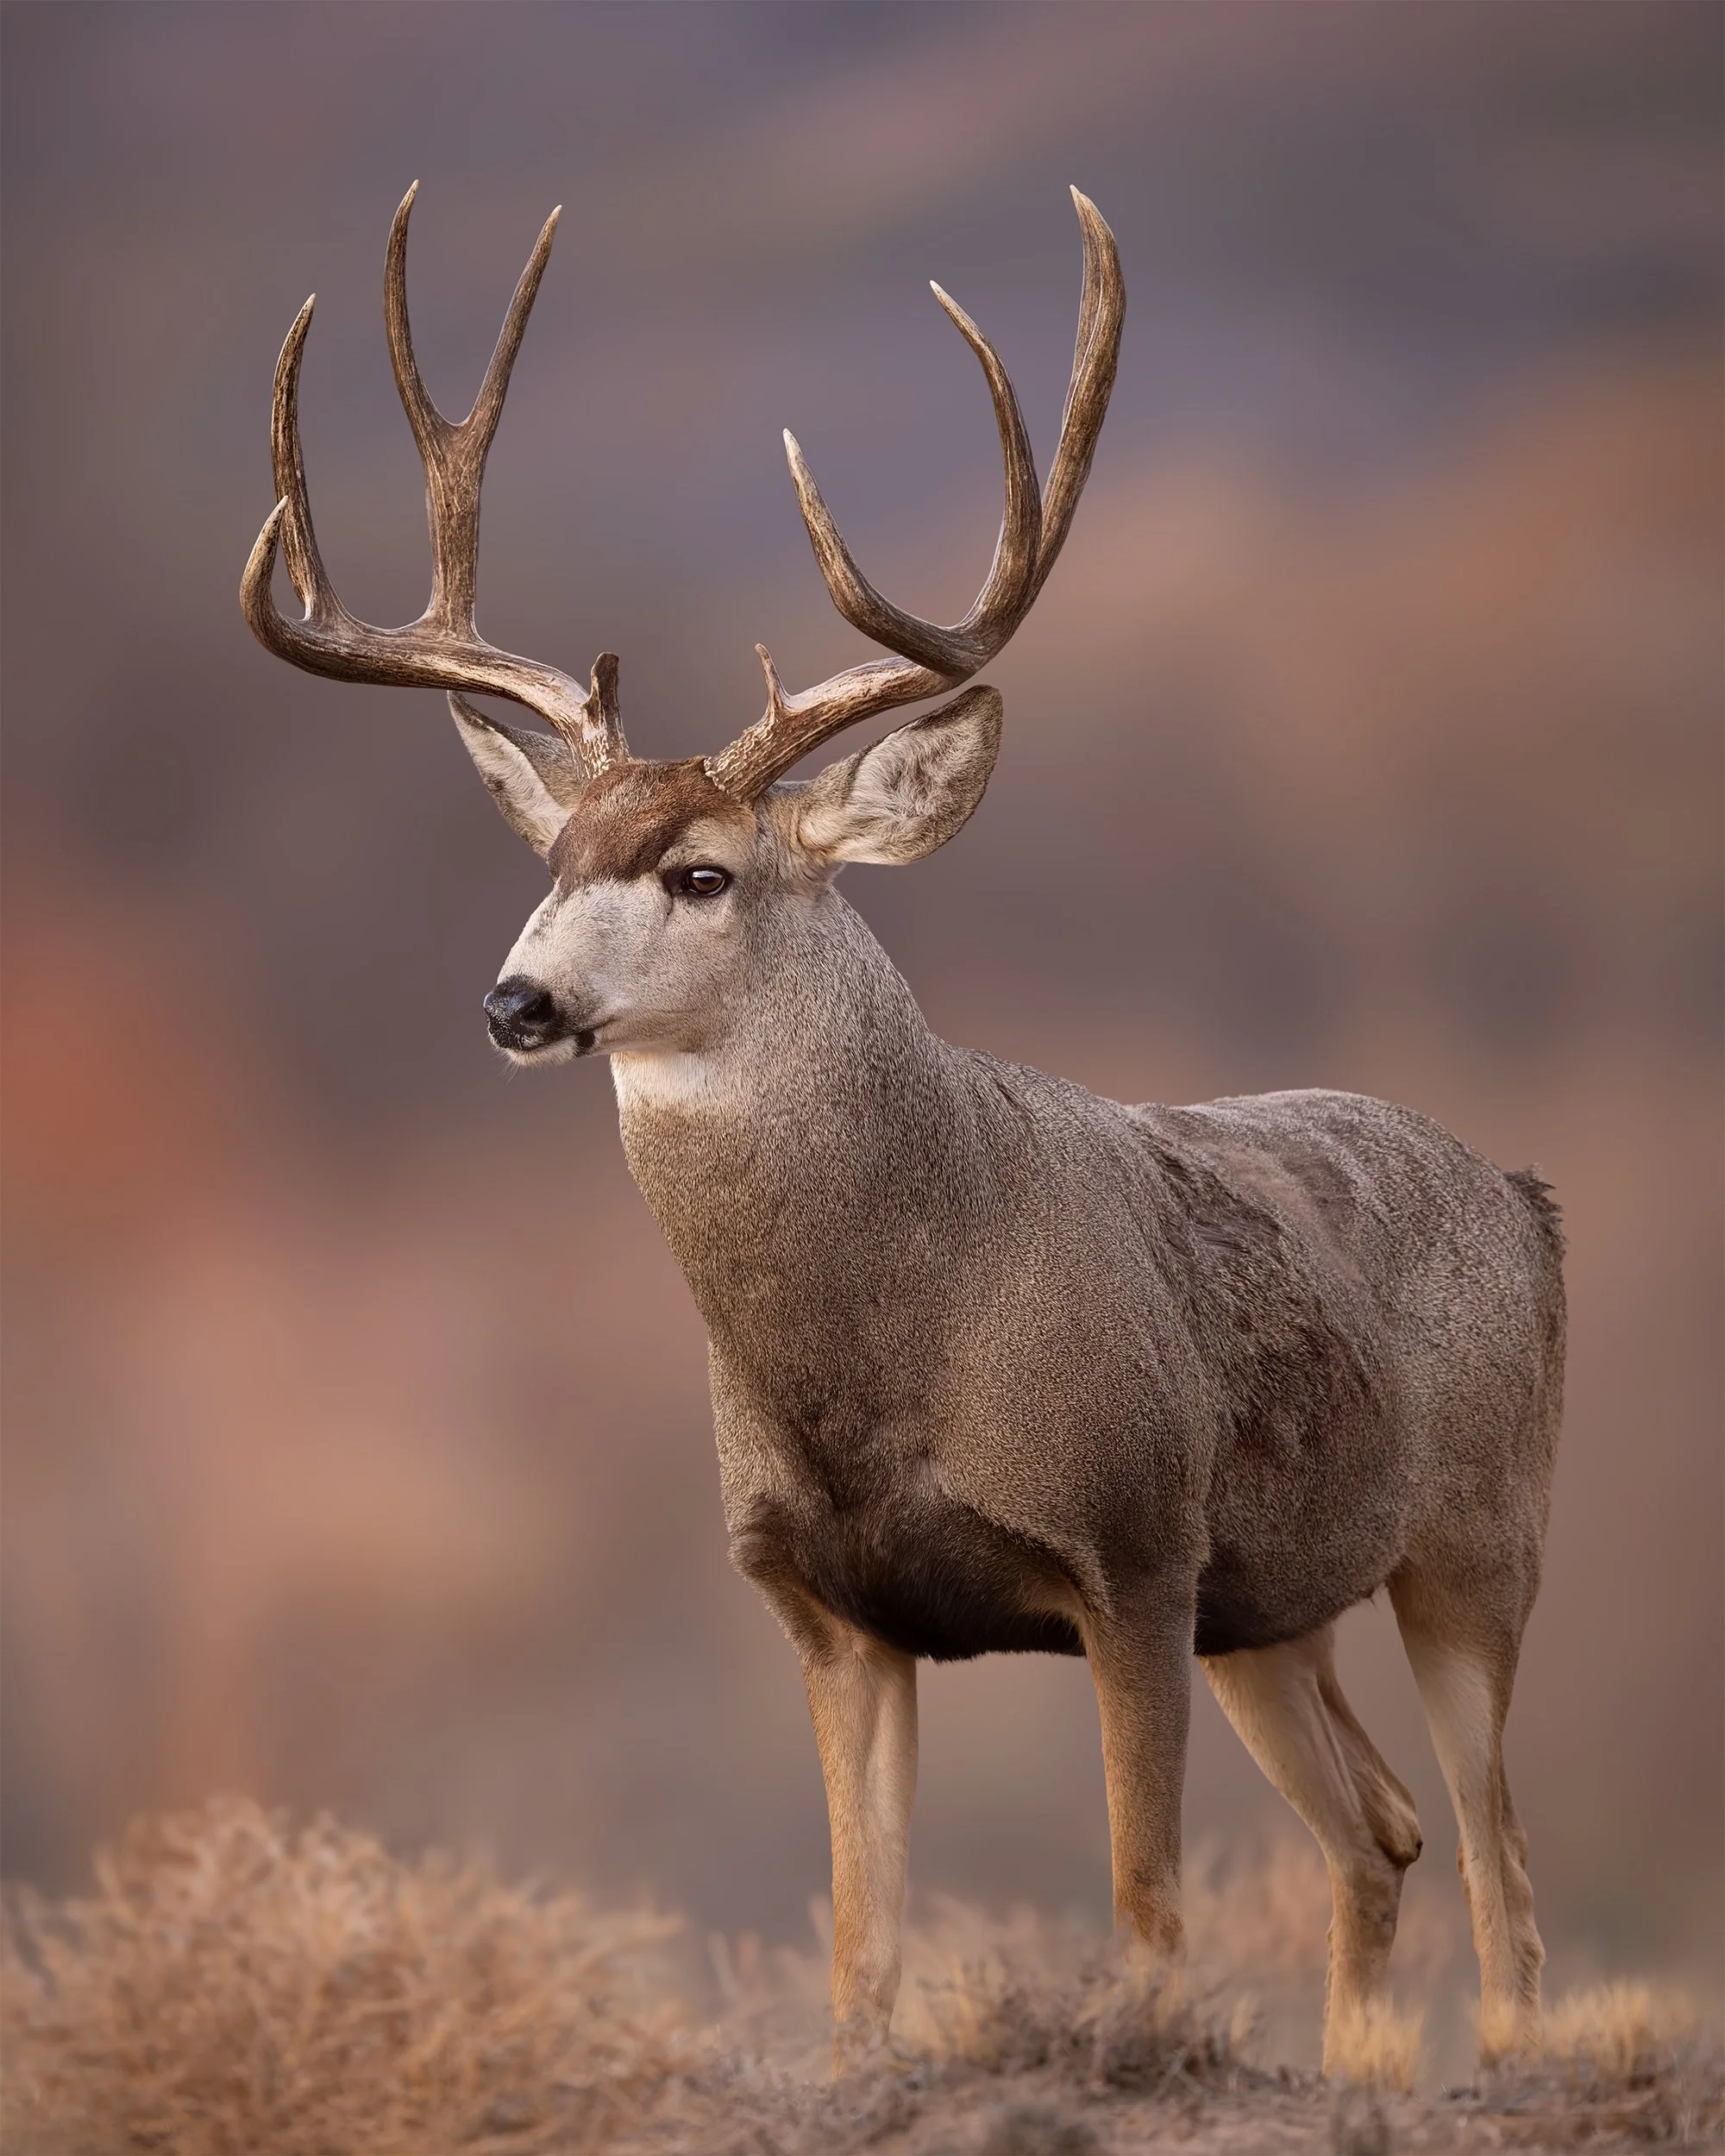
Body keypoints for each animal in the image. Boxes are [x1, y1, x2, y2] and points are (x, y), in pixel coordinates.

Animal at [242, 184, 1564, 2078]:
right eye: (552, 861)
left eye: (699, 872)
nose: (514, 1003)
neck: (889, 1349)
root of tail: (1521, 1190)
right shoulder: (829, 1606)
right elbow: (860, 1945)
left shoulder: (1130, 1543)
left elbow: (1144, 1901)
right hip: (1278, 1605)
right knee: (1378, 1829)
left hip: (1475, 1532)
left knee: (1497, 1859)